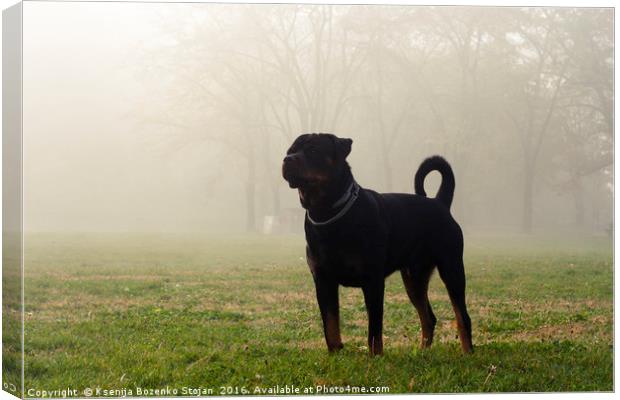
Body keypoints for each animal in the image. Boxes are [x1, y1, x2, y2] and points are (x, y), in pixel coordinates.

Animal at [284, 133, 472, 354]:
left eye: (313, 150)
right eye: (290, 151)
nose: (287, 159)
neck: (328, 212)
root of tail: (440, 202)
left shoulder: (372, 280)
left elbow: (374, 329)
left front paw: (375, 356)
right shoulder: (323, 281)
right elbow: (330, 325)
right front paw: (335, 354)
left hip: (452, 269)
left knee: (462, 316)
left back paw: (467, 352)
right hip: (414, 278)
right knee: (428, 317)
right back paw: (422, 351)